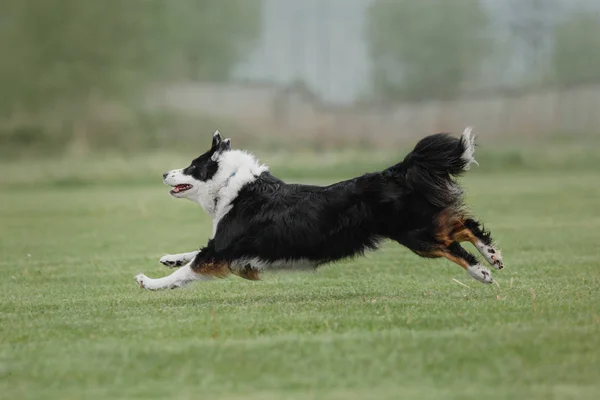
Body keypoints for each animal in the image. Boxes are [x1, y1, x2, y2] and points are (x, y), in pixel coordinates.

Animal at [135, 129, 502, 290]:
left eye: (192, 166)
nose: (164, 173)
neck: (233, 185)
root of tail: (396, 171)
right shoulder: (229, 252)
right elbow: (189, 255)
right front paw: (169, 258)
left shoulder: (221, 250)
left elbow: (186, 270)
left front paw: (149, 282)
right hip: (424, 226)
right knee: (465, 224)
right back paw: (492, 255)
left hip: (416, 235)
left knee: (454, 243)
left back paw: (481, 271)